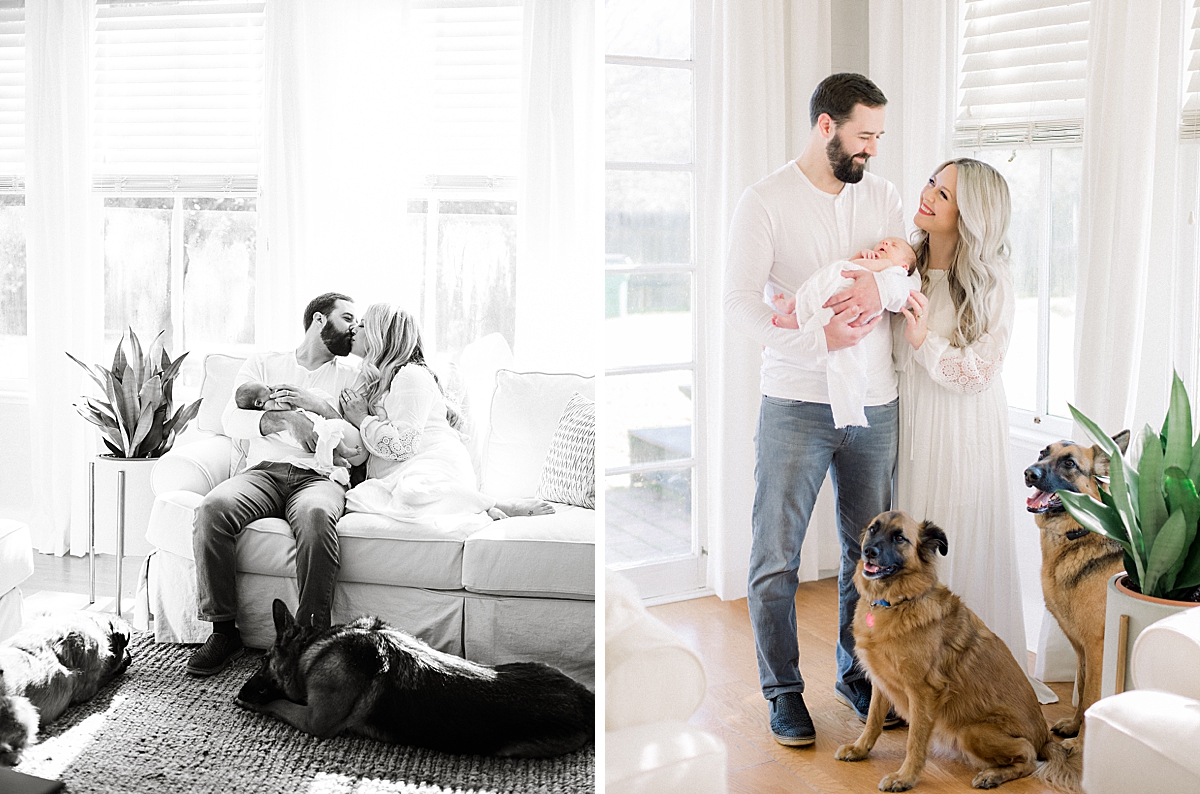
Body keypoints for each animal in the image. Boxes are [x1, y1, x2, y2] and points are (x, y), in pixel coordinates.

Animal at [235, 599, 595, 762]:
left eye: (263, 660)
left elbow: (277, 703)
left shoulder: (315, 722)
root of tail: (583, 696)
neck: (317, 646)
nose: (237, 691)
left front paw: (251, 701)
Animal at [835, 513, 1080, 791]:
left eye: (899, 538)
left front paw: (905, 777)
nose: (868, 552)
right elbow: (873, 721)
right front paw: (859, 749)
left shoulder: (923, 693)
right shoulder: (881, 682)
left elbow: (914, 741)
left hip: (971, 731)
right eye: (873, 530)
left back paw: (992, 775)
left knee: (1028, 757)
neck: (895, 602)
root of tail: (1044, 739)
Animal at [1027, 436, 1128, 753]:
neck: (1080, 533)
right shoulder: (1081, 649)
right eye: (1042, 453)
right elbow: (1082, 691)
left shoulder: (1097, 647)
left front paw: (1082, 744)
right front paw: (1073, 727)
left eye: (1070, 463)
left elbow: (1093, 695)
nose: (1029, 473)